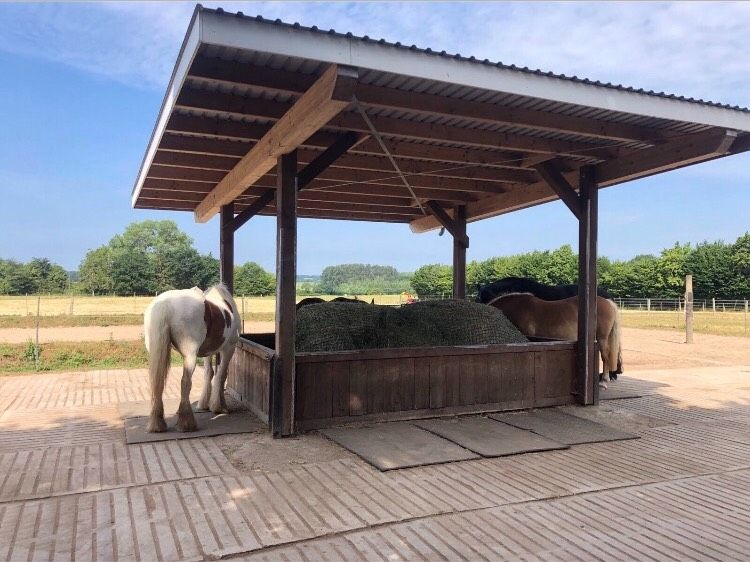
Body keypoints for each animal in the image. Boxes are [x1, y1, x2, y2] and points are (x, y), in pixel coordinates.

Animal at [144, 282, 241, 430]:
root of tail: (166, 304)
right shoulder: (229, 348)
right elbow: (221, 375)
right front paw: (219, 407)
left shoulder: (208, 352)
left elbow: (209, 373)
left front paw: (205, 404)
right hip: (190, 356)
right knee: (185, 382)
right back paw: (186, 422)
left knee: (157, 383)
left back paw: (157, 423)